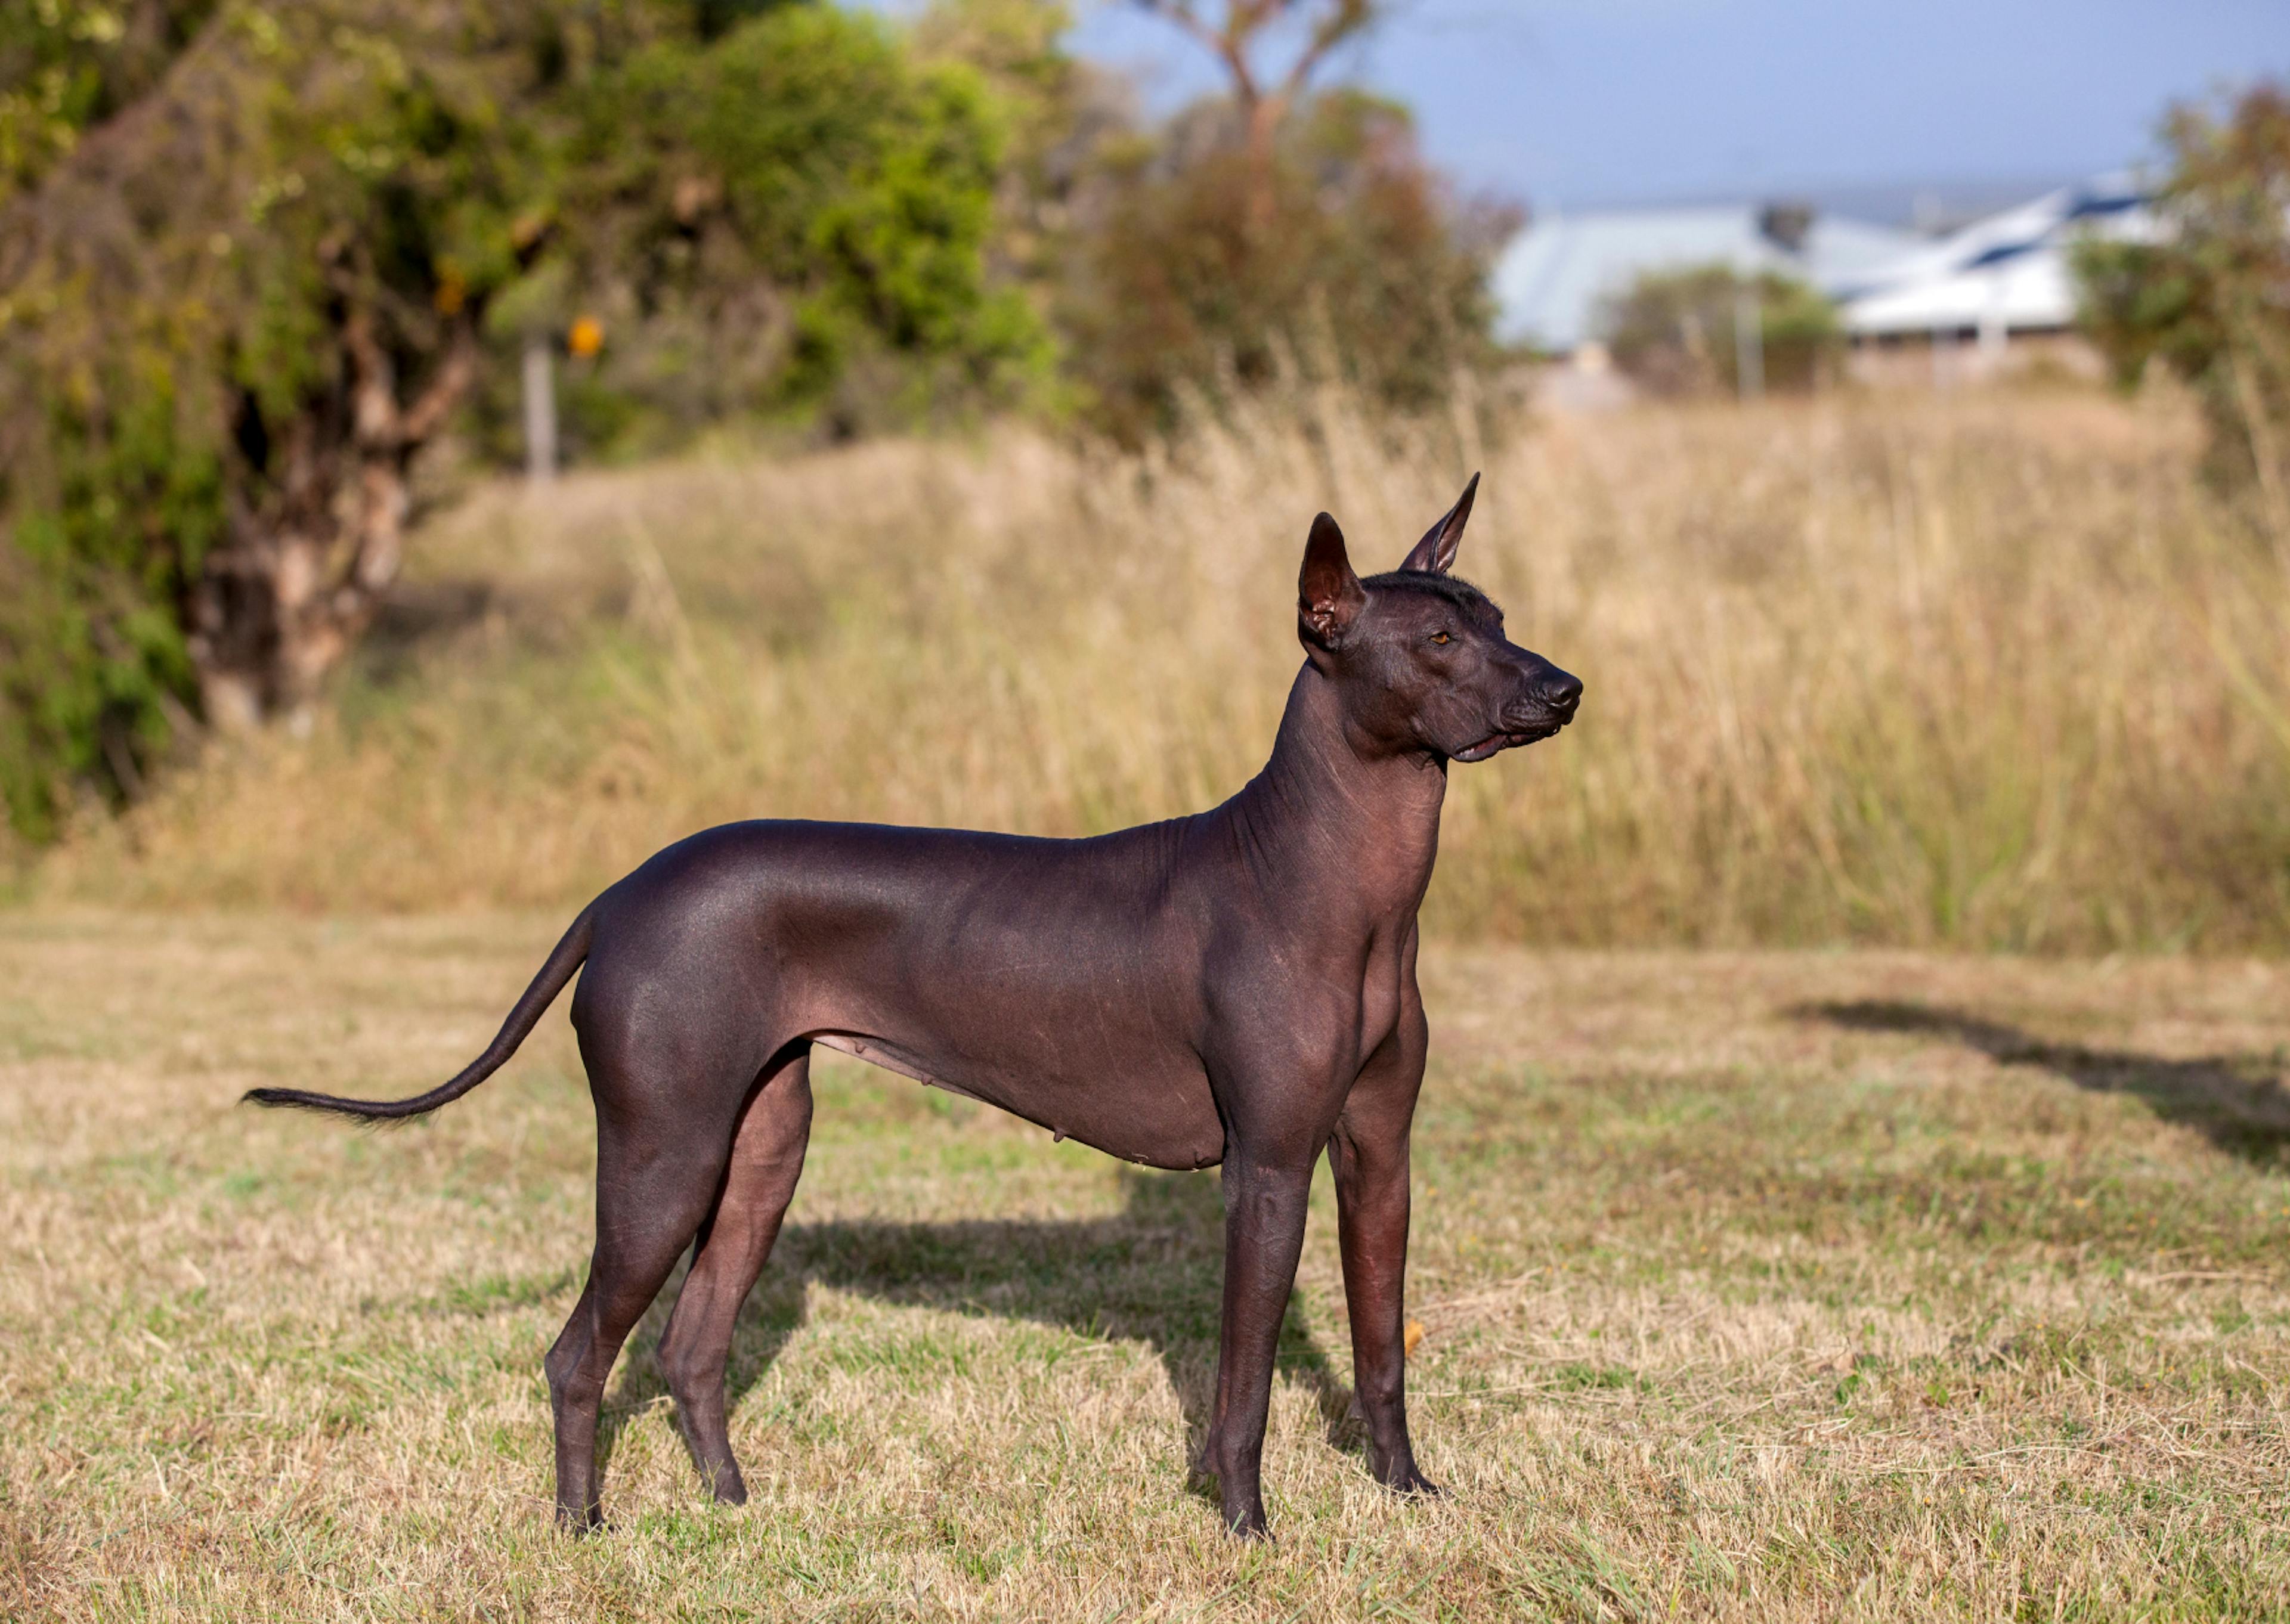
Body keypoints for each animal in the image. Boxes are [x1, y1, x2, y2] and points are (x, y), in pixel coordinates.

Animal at [246, 474, 1575, 1539]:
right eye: (1441, 638)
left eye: (1502, 620)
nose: (1564, 689)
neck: (1331, 880)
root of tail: (621, 891)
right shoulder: (1269, 1168)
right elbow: (1243, 1379)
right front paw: (1246, 1524)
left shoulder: (1380, 1153)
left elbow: (1382, 1343)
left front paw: (1408, 1492)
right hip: (666, 1154)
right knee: (580, 1353)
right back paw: (582, 1529)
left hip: (761, 1147)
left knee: (688, 1345)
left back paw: (732, 1505)